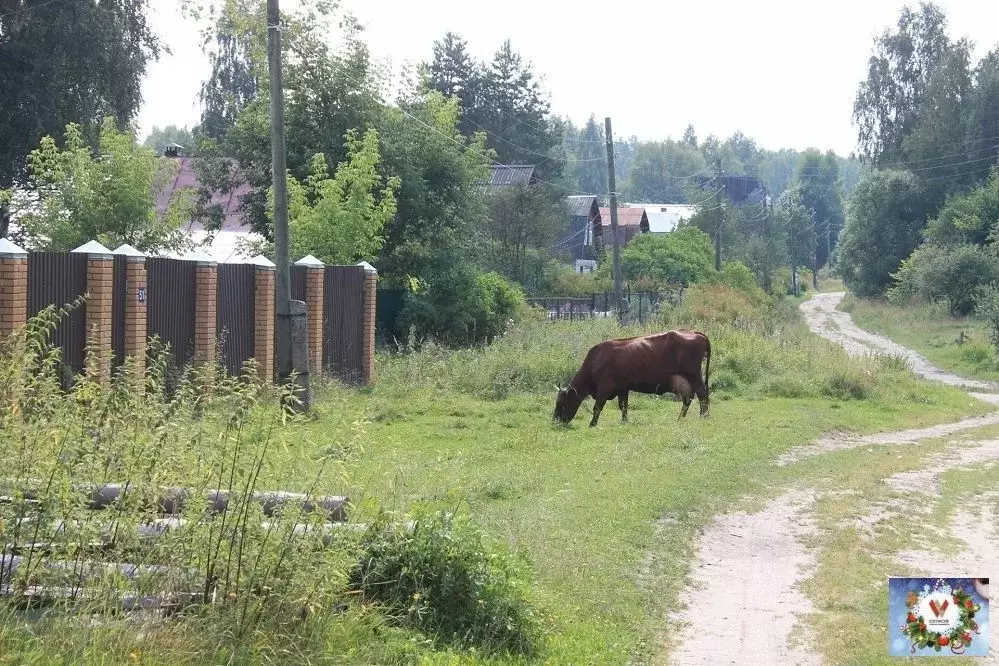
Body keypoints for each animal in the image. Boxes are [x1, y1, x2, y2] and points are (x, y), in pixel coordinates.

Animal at [556, 326, 712, 426]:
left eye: (561, 403)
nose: (555, 421)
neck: (597, 360)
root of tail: (694, 332)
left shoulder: (605, 388)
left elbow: (598, 407)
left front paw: (592, 424)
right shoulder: (623, 388)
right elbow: (623, 406)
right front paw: (625, 422)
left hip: (693, 376)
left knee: (702, 395)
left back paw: (703, 417)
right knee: (689, 399)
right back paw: (682, 419)